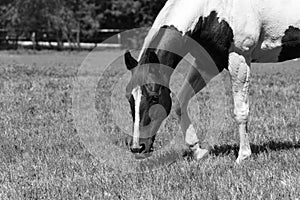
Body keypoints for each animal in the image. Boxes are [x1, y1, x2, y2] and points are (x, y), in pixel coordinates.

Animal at [123, 0, 300, 162]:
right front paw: (198, 151)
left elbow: (241, 111)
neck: (209, 11)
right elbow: (180, 103)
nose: (137, 147)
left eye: (154, 97)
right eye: (129, 98)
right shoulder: (207, 64)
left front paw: (243, 156)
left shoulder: (239, 58)